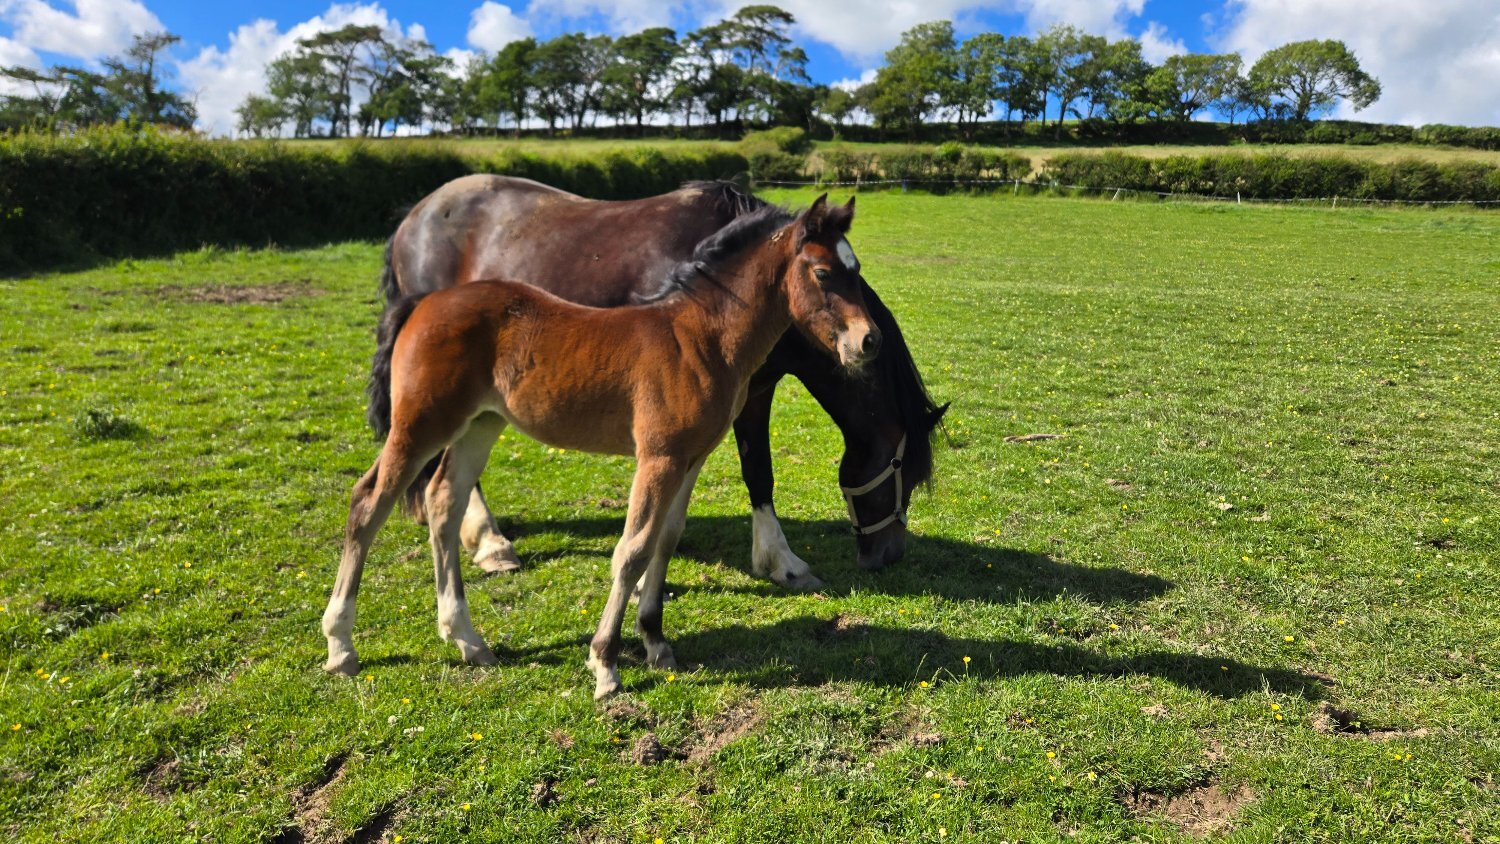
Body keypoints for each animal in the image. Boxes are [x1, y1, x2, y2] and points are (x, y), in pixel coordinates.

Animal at [323, 196, 880, 699]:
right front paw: (605, 665)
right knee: (368, 503)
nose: (868, 341)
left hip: (479, 425)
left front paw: (656, 643)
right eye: (824, 273)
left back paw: (467, 638)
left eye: (856, 270)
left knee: (444, 500)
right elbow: (632, 552)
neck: (698, 337)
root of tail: (423, 303)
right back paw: (341, 646)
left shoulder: (690, 459)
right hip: (421, 425)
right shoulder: (658, 457)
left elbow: (666, 540)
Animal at [381, 176, 946, 587]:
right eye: (903, 470)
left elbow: (756, 474)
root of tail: (416, 215)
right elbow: (755, 471)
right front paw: (781, 561)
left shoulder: (755, 390)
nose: (889, 554)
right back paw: (490, 542)